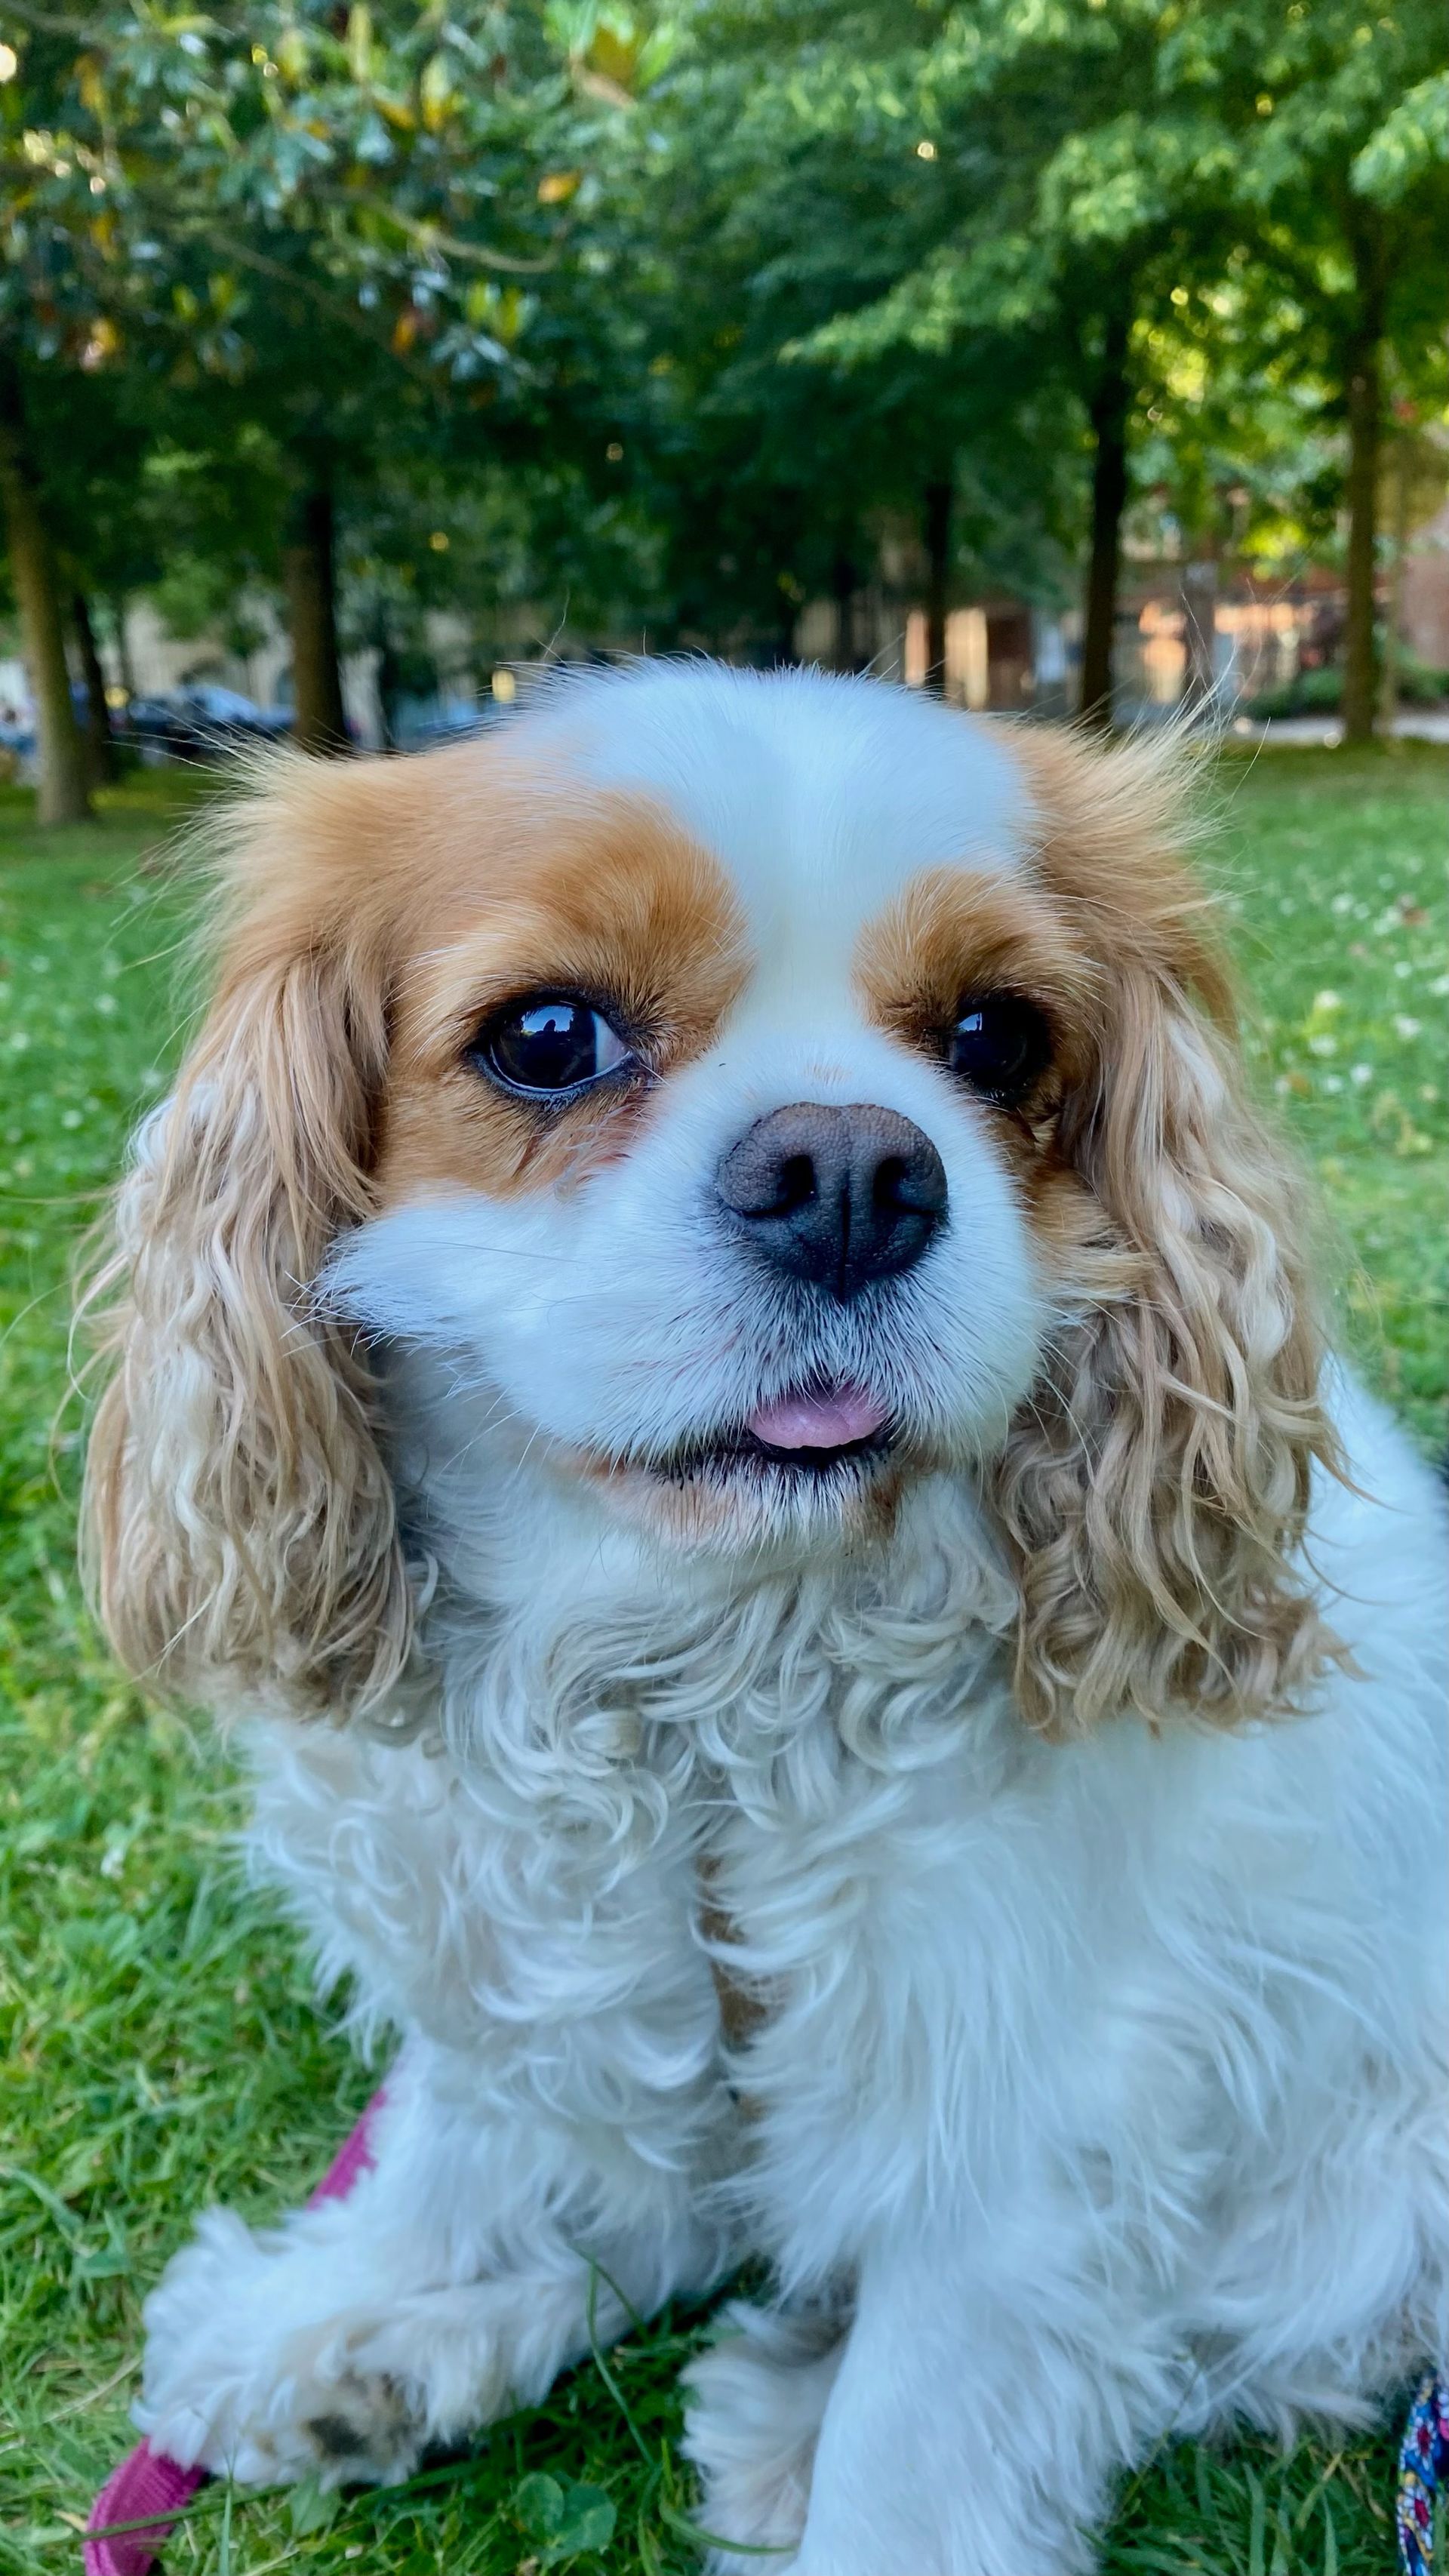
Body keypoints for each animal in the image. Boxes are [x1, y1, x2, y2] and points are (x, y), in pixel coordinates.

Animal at [84, 663, 1447, 2573]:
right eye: (548, 1035)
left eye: (997, 1037)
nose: (852, 1171)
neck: (697, 1690)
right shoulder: (509, 1936)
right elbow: (468, 2126)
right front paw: (363, 2298)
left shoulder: (1018, 2123)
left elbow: (925, 2444)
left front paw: (834, 2469)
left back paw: (785, 2423)